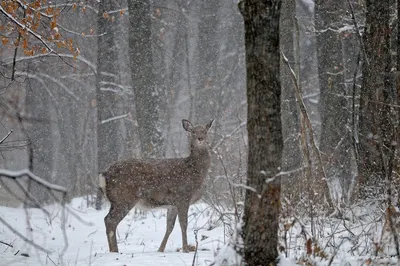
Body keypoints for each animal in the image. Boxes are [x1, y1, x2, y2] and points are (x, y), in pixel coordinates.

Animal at [99, 119, 214, 254]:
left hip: (116, 200)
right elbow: (184, 224)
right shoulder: (183, 197)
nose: (200, 138)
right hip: (123, 198)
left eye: (205, 131)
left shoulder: (172, 204)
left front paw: (160, 250)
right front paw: (186, 249)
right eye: (193, 132)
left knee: (107, 219)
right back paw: (115, 251)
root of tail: (104, 174)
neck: (194, 171)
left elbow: (170, 226)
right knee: (110, 221)